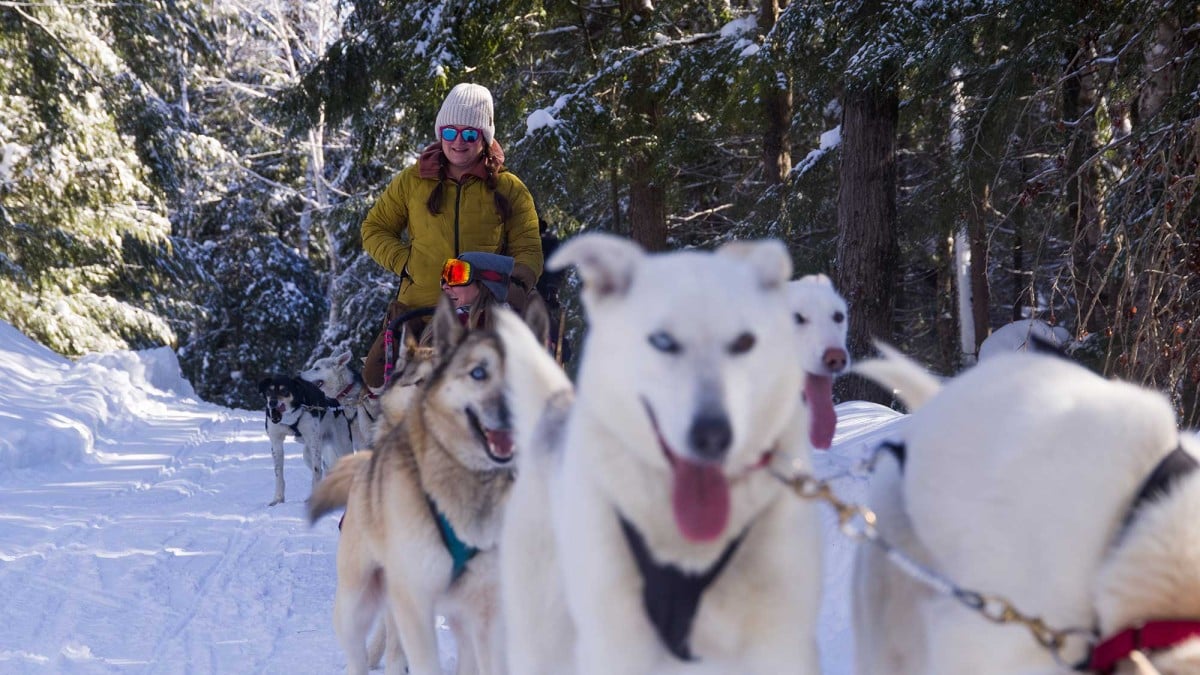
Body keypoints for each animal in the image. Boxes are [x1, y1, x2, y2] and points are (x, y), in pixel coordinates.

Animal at [260, 372, 352, 504]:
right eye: (269, 391)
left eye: (284, 391)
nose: (272, 403)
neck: (290, 418)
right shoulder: (276, 442)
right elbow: (279, 474)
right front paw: (278, 499)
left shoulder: (313, 442)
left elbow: (316, 471)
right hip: (308, 454)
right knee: (324, 468)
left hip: (341, 447)